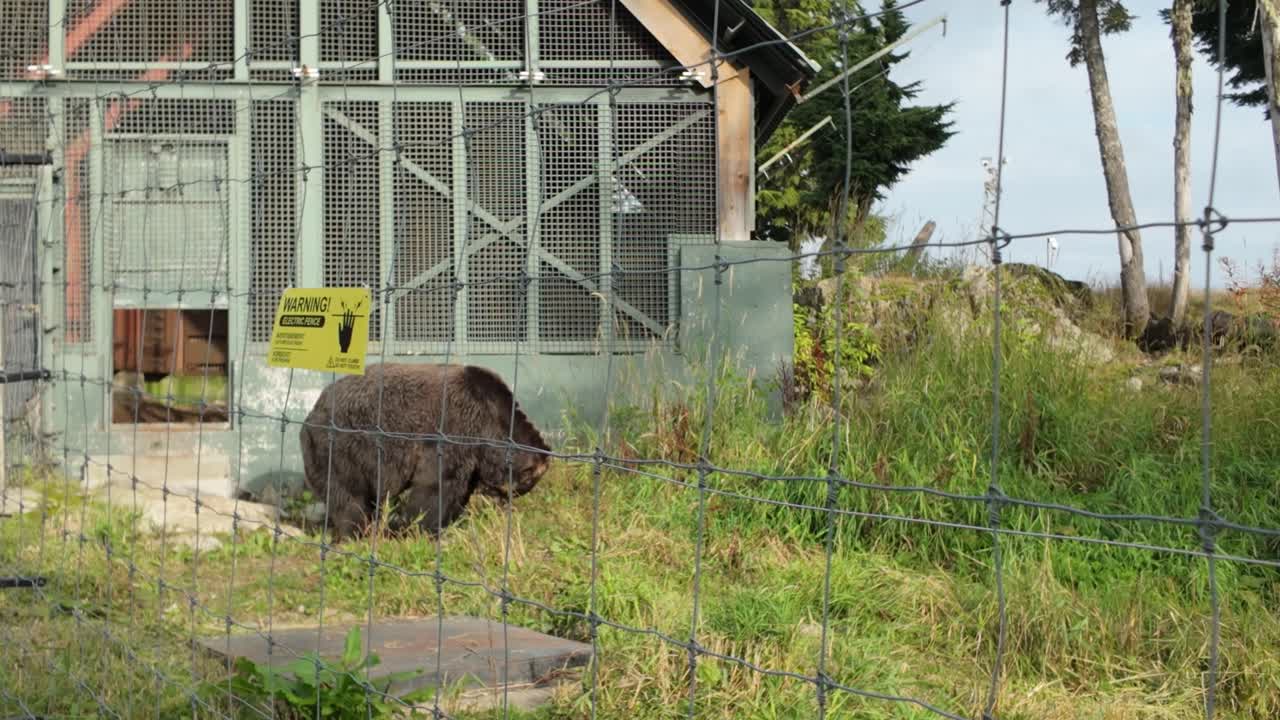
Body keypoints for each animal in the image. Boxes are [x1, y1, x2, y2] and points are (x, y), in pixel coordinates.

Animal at [298, 363, 552, 542]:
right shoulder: (451, 431)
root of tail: (310, 414)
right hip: (341, 446)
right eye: (527, 482)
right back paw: (355, 532)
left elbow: (458, 492)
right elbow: (435, 486)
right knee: (348, 496)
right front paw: (421, 528)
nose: (504, 502)